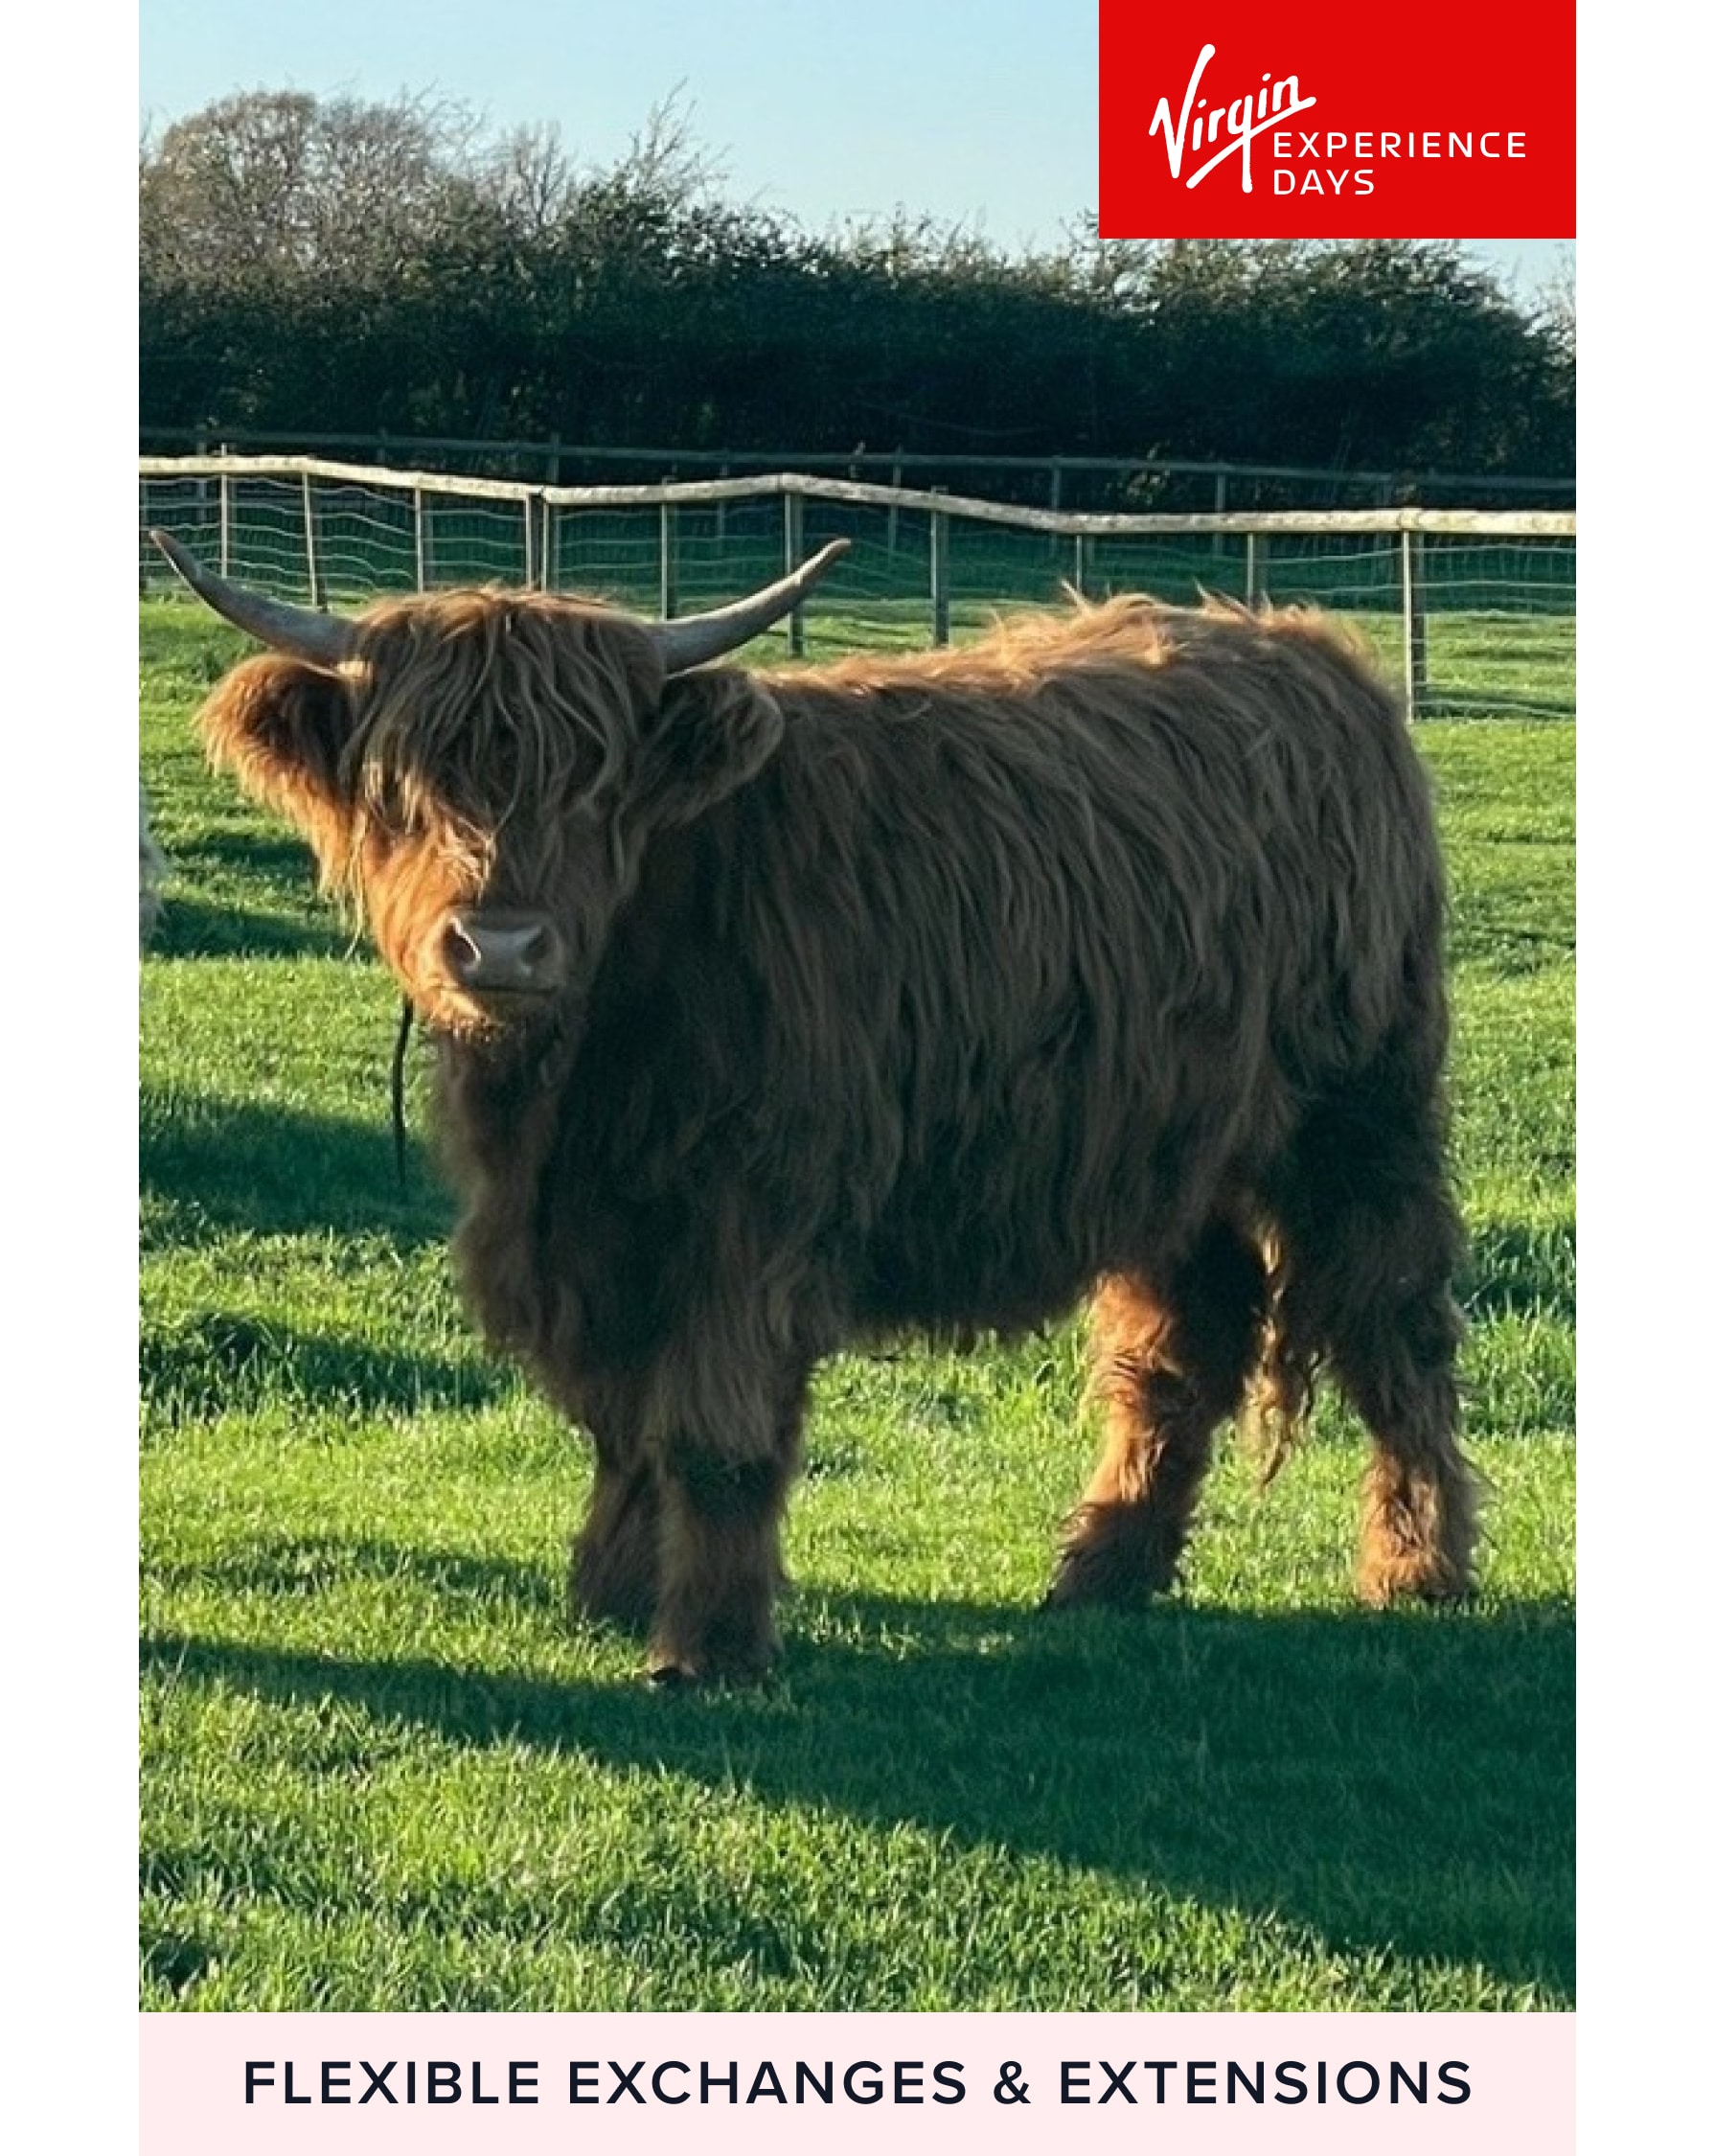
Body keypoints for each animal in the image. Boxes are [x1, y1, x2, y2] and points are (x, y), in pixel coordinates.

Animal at [152, 527, 1479, 1683]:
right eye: (400, 786)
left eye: (595, 786)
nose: (501, 946)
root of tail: (1306, 650)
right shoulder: (590, 1235)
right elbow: (621, 1423)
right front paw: (609, 1590)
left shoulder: (751, 1214)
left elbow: (711, 1433)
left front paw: (708, 1647)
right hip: (1166, 1148)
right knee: (1180, 1342)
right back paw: (1102, 1570)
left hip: (1356, 1114)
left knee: (1393, 1321)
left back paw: (1416, 1568)